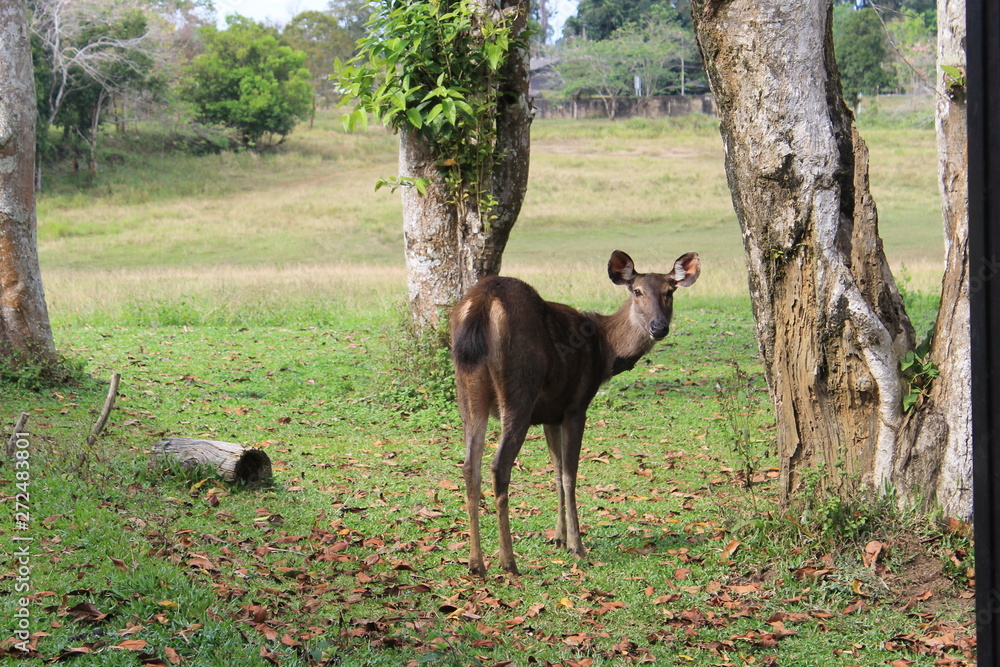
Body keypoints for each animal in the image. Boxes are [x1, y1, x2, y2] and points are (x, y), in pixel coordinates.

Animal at [450, 250, 701, 575]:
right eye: (637, 291)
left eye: (670, 291)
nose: (659, 327)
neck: (604, 352)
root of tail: (481, 303)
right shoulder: (576, 406)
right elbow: (570, 473)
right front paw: (576, 544)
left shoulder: (550, 414)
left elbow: (556, 471)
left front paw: (558, 537)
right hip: (520, 387)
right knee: (499, 466)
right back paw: (508, 561)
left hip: (468, 389)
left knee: (470, 465)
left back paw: (475, 563)